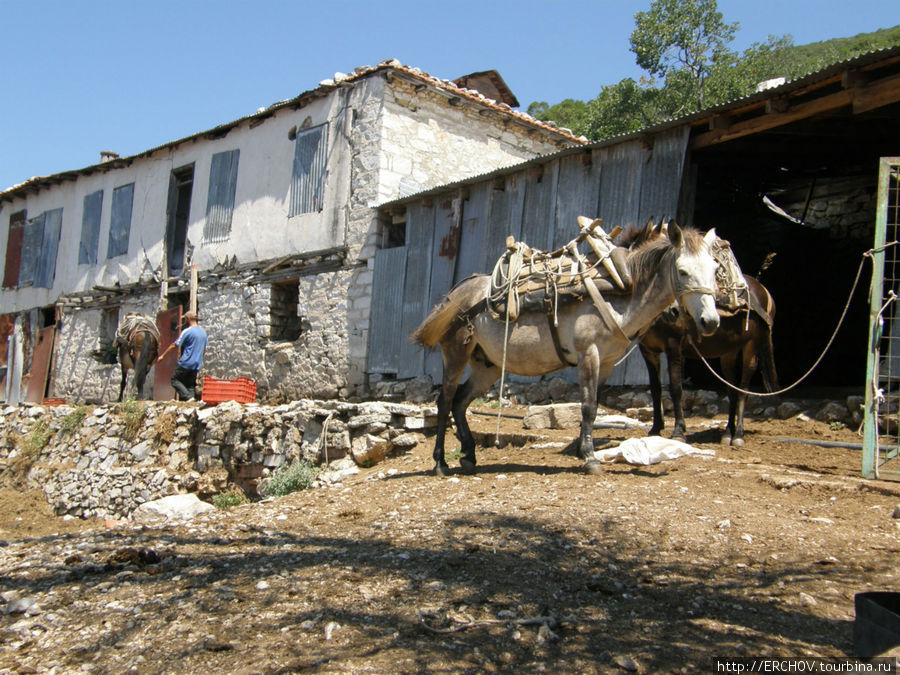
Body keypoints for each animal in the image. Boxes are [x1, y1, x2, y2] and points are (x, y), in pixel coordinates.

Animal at [414, 223, 716, 476]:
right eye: (682, 271)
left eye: (714, 270)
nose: (710, 321)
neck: (619, 287)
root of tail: (455, 296)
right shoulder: (588, 355)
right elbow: (588, 407)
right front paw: (591, 459)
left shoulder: (606, 363)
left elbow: (593, 406)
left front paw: (583, 450)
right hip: (456, 354)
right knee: (445, 401)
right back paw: (440, 463)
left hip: (487, 366)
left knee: (460, 401)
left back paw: (469, 455)